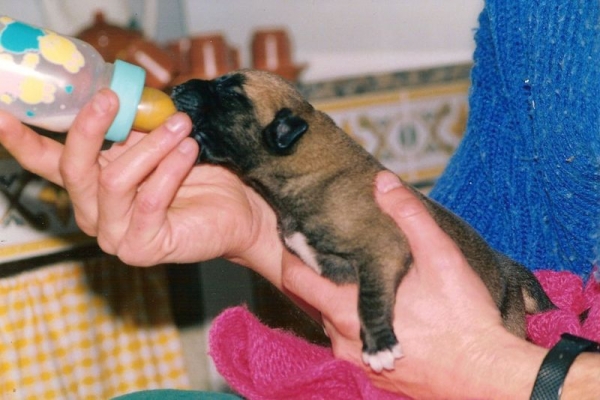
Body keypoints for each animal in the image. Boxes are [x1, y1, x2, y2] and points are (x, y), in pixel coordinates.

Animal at [171, 69, 556, 372]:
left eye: (228, 94)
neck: (308, 166)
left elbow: (369, 298)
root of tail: (509, 269)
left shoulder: (383, 247)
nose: (176, 88)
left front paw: (379, 345)